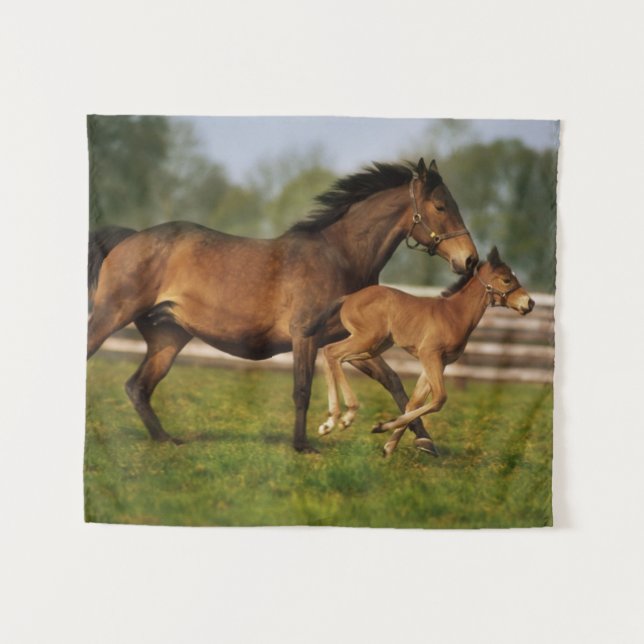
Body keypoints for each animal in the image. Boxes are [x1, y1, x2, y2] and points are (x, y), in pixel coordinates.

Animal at [87, 158, 478, 453]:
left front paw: (424, 442)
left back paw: (166, 440)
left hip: (167, 338)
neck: (340, 256)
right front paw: (303, 444)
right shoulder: (305, 335)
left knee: (138, 387)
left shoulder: (352, 340)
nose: (470, 260)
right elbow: (302, 389)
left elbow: (395, 382)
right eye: (441, 206)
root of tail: (129, 238)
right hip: (110, 316)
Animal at [311, 247, 534, 456]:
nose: (530, 303)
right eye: (506, 280)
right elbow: (439, 399)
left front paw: (389, 446)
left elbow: (414, 403)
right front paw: (381, 427)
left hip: (373, 347)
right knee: (332, 351)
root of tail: (349, 297)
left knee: (335, 356)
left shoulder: (440, 362)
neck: (454, 314)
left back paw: (331, 421)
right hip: (367, 339)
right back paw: (344, 417)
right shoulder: (430, 355)